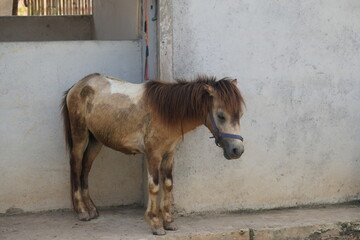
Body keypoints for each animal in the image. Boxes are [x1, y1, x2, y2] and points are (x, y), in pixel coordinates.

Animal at [61, 73, 245, 234]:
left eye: (240, 115)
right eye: (221, 115)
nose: (238, 150)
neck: (167, 112)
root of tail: (78, 85)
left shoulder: (169, 154)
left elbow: (168, 184)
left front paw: (168, 221)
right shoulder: (154, 154)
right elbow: (154, 186)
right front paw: (155, 222)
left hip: (95, 142)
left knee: (85, 169)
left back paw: (91, 209)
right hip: (80, 137)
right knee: (76, 166)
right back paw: (82, 210)